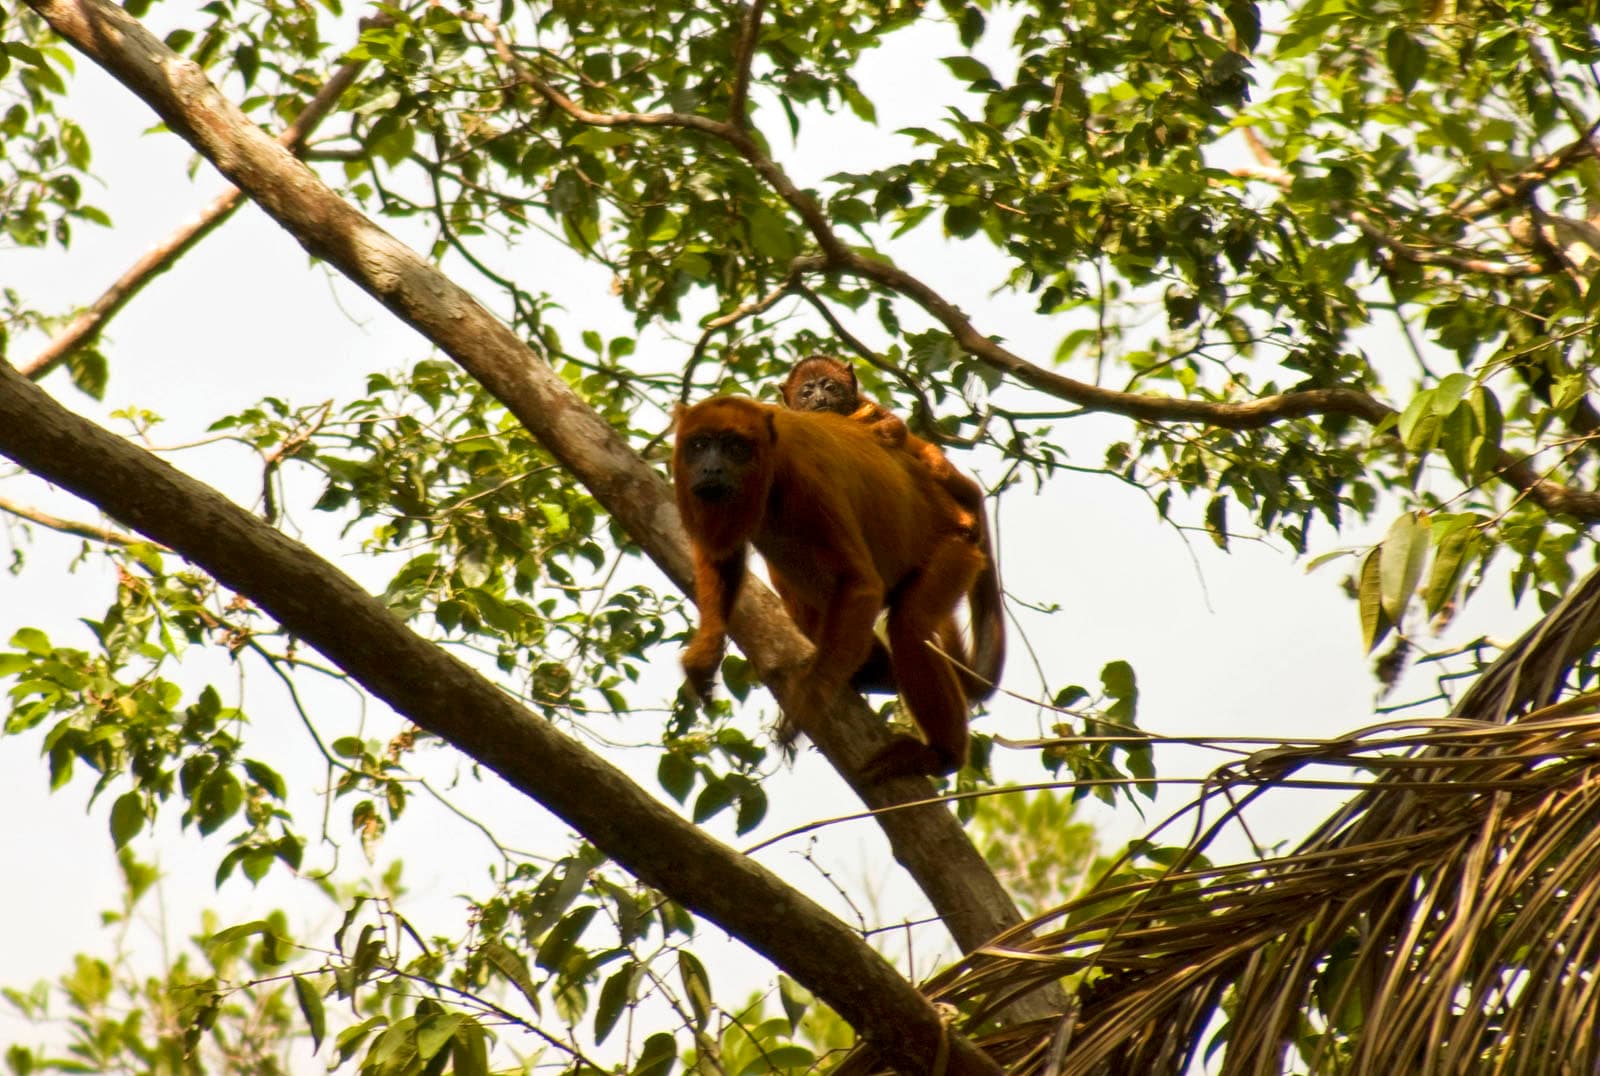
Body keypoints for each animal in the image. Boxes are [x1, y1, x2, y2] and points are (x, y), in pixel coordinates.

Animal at [673, 395, 985, 779]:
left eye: (736, 448)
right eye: (699, 445)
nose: (712, 470)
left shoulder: (807, 480)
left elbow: (861, 583)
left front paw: (803, 709)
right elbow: (721, 559)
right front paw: (703, 657)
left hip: (956, 549)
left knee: (910, 624)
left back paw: (942, 755)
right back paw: (876, 672)